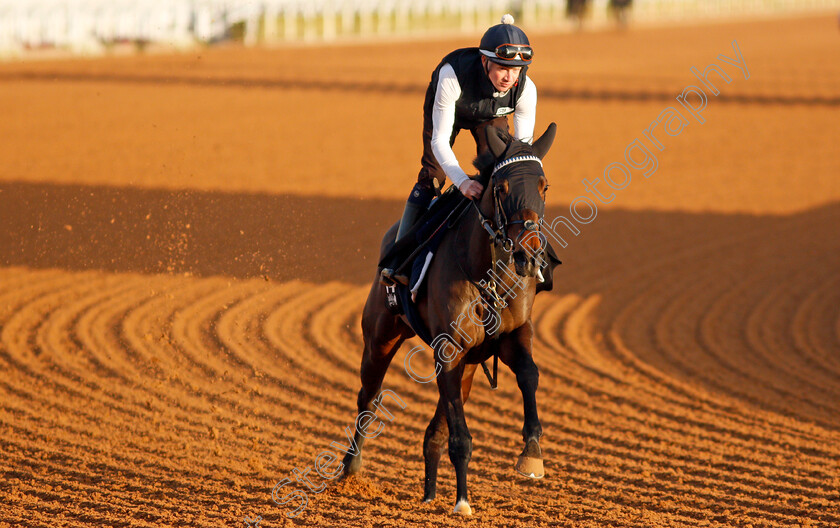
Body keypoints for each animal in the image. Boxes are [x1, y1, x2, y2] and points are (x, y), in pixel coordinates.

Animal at [342, 121, 556, 512]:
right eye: (501, 188)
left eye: (543, 186)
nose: (529, 255)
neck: (486, 271)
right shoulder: (449, 349)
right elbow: (460, 436)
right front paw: (462, 501)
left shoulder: (513, 335)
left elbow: (529, 375)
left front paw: (531, 455)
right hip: (380, 336)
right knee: (369, 398)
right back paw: (350, 469)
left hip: (468, 366)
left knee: (433, 430)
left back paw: (428, 494)